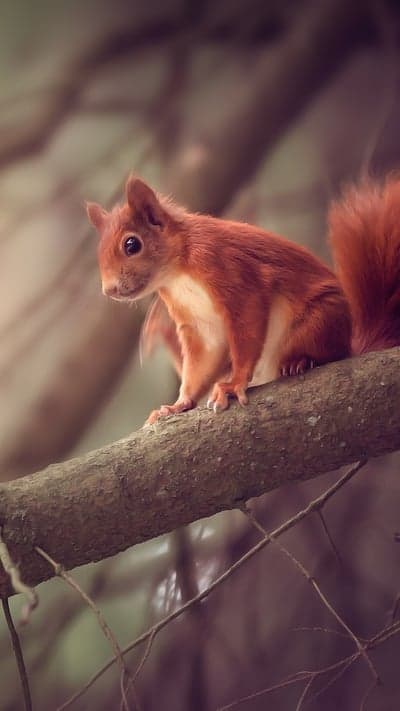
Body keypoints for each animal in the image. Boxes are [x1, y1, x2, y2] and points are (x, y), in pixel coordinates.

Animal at [86, 175, 400, 425]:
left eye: (132, 244)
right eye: (98, 252)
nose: (108, 290)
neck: (177, 271)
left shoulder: (232, 272)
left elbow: (246, 327)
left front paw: (233, 384)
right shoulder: (197, 324)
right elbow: (202, 359)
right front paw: (178, 405)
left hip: (321, 319)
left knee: (331, 351)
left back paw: (301, 360)